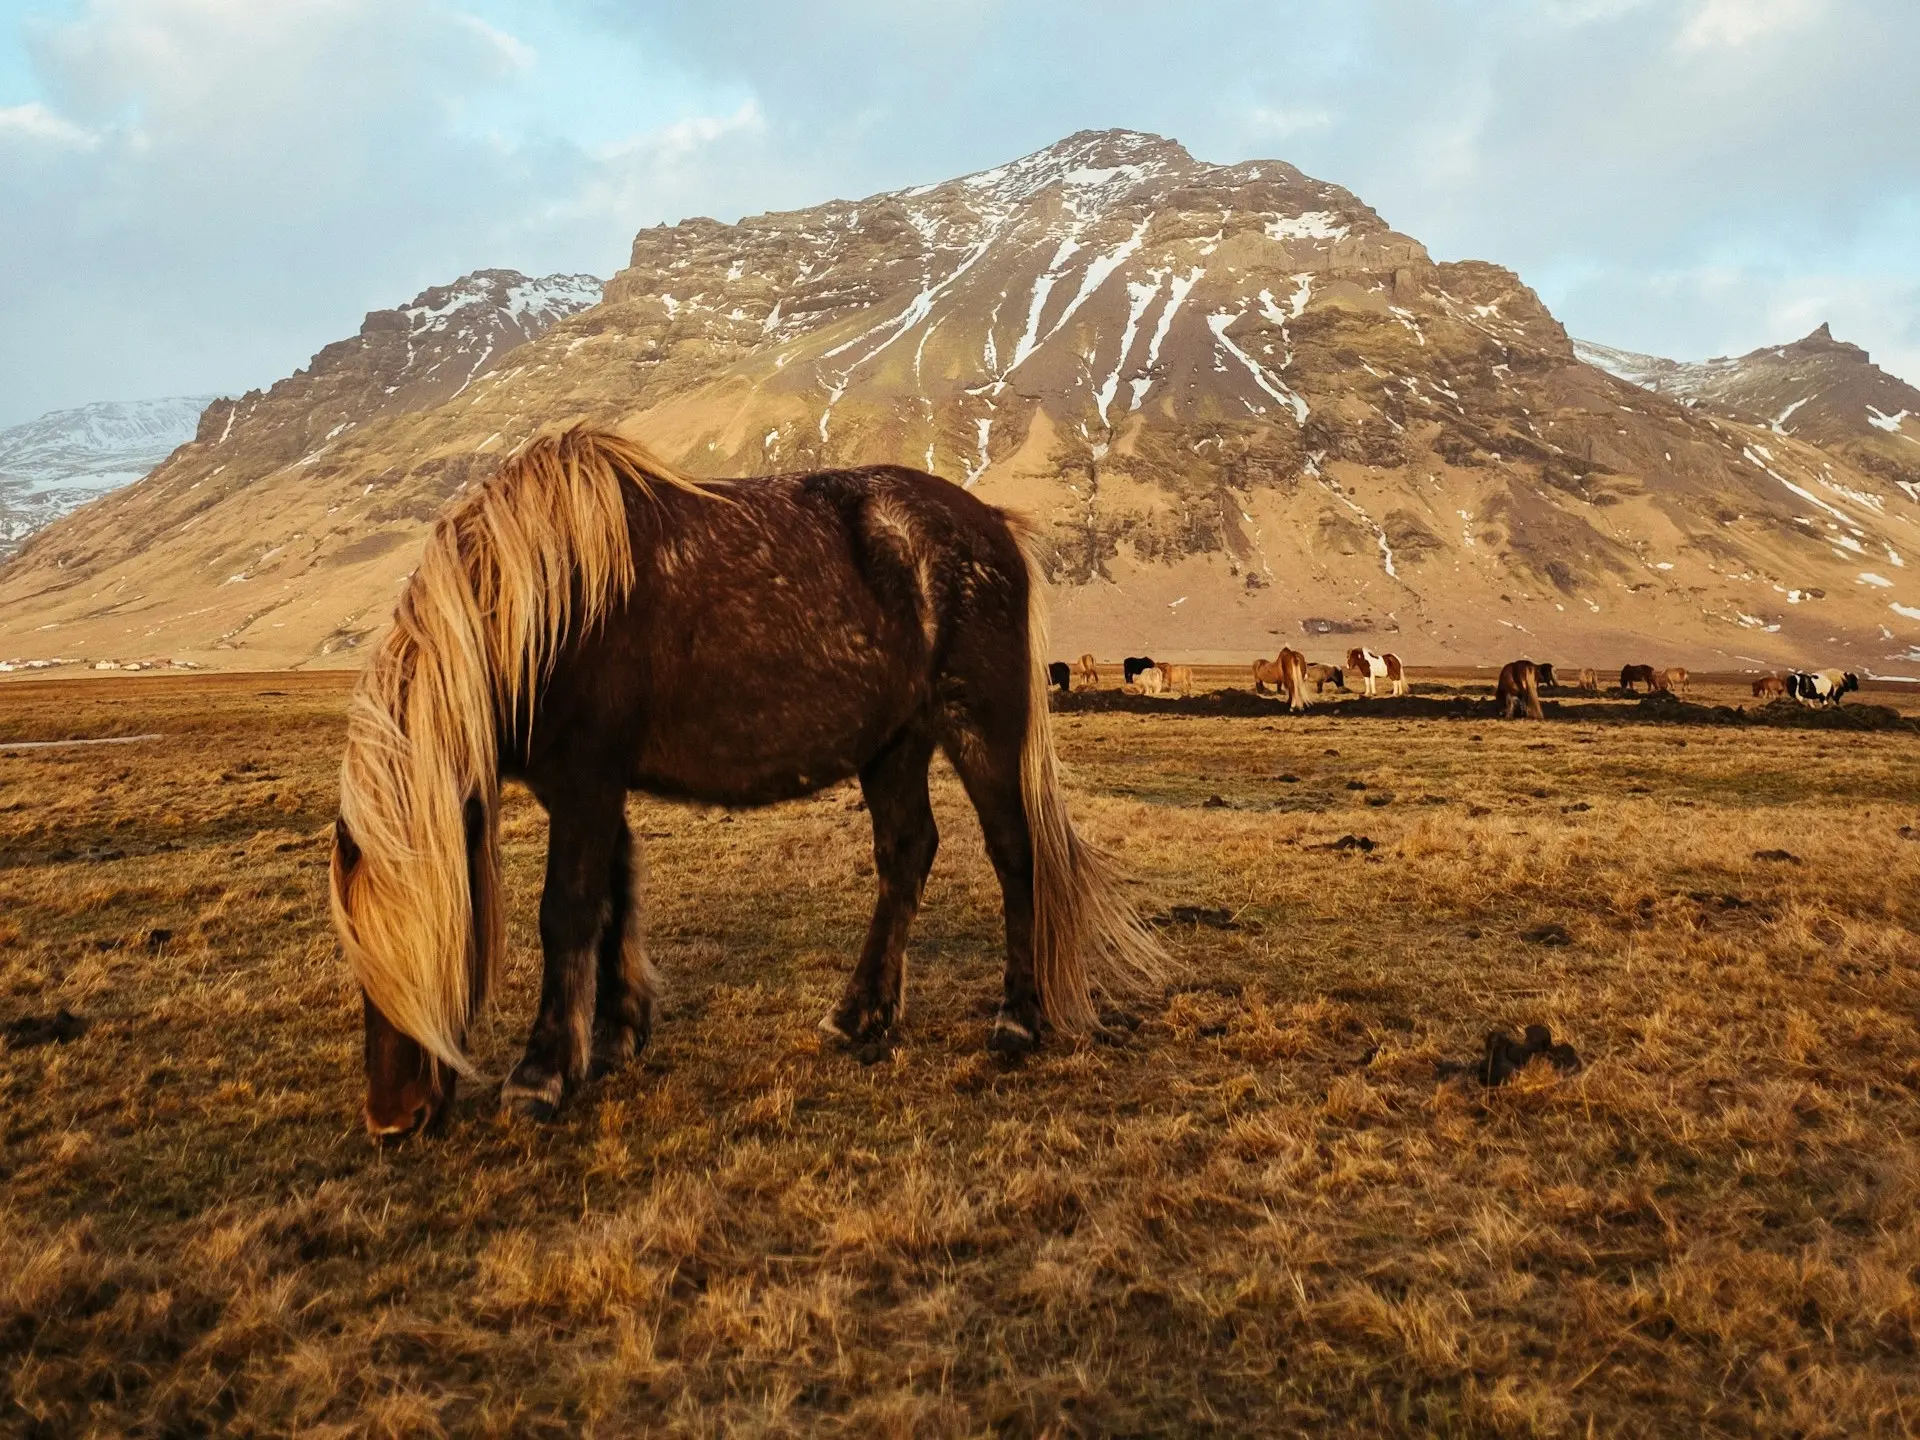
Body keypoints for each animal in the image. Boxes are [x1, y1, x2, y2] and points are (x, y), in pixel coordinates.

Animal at [326, 426, 1167, 1136]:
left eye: (429, 941)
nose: (393, 1120)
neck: (548, 605)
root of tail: (991, 523)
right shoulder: (597, 786)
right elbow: (614, 897)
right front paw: (616, 1034)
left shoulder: (586, 780)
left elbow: (567, 911)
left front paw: (540, 1076)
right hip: (895, 745)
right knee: (907, 853)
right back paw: (860, 1016)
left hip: (978, 730)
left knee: (1014, 856)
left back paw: (1015, 1022)